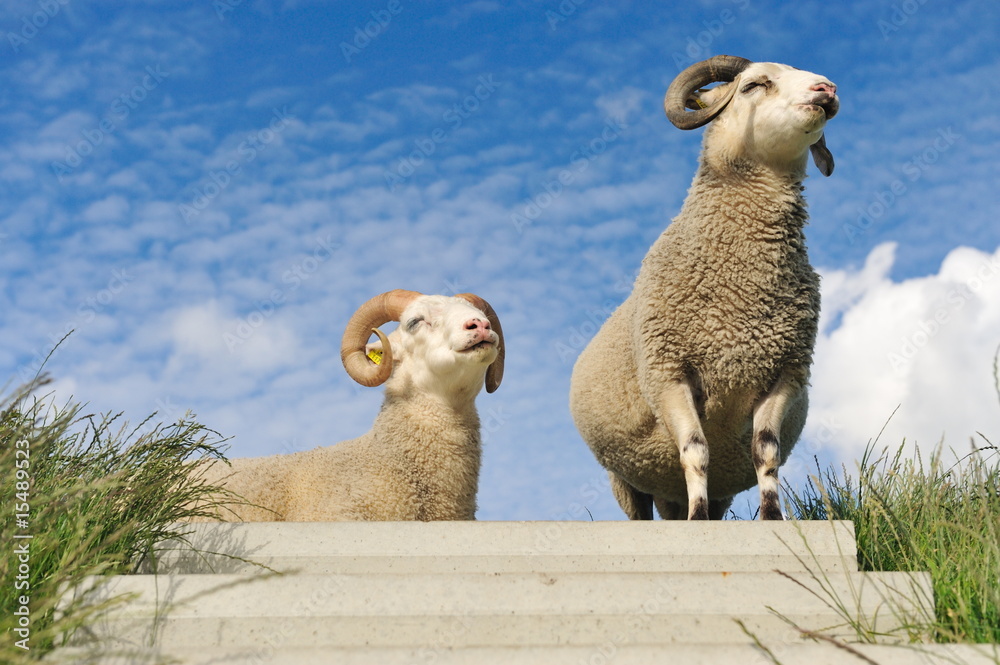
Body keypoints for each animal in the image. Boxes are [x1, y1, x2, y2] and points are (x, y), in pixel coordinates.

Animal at [569, 55, 838, 521]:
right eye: (753, 85)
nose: (827, 89)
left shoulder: (784, 373)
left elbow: (766, 451)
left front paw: (773, 519)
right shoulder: (668, 373)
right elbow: (696, 451)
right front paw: (699, 524)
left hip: (702, 488)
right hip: (625, 477)